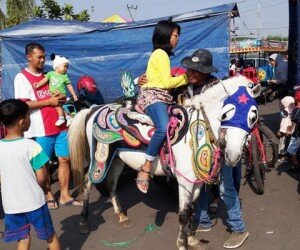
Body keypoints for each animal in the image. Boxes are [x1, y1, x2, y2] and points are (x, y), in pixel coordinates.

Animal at [68, 75, 260, 249]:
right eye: (226, 113)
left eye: (253, 118)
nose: (233, 155)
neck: (199, 130)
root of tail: (94, 109)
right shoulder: (184, 181)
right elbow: (184, 213)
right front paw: (182, 244)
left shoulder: (196, 181)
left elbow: (193, 209)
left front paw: (192, 239)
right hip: (100, 158)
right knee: (88, 183)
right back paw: (84, 222)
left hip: (117, 159)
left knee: (112, 184)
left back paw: (122, 215)